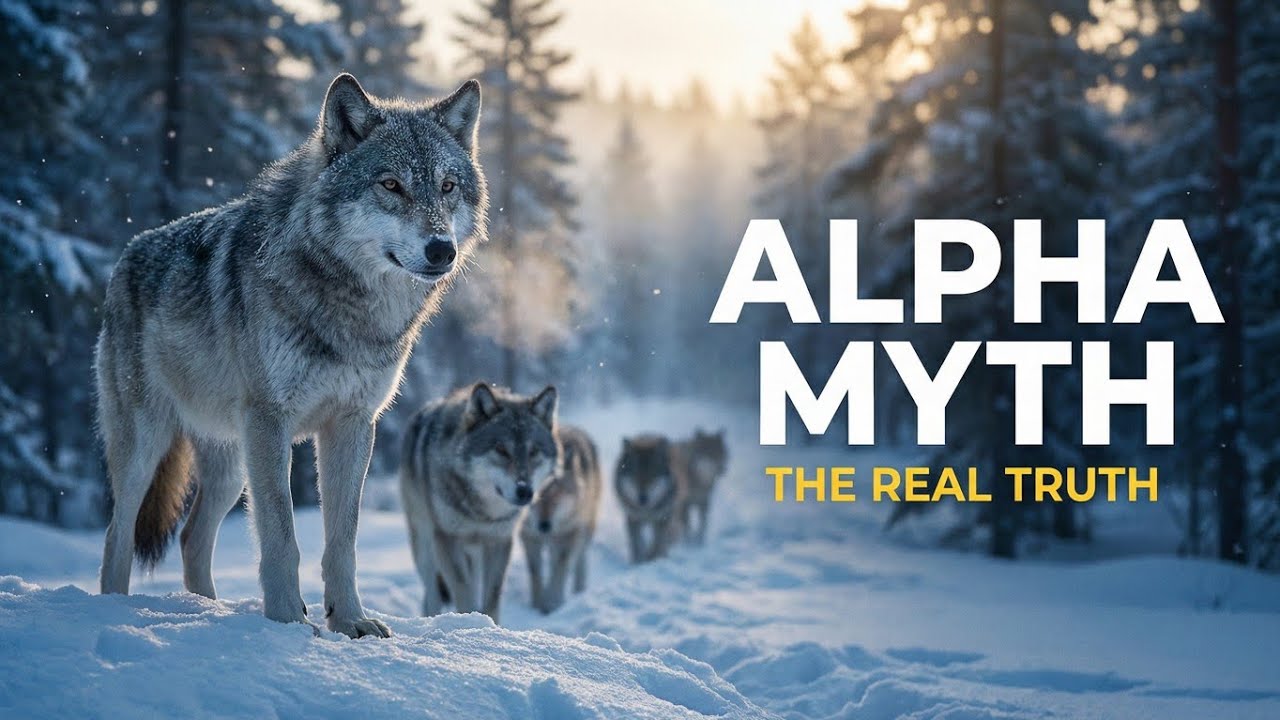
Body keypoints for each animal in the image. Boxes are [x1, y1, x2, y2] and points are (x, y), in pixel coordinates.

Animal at [95, 73, 487, 639]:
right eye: (391, 185)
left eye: (448, 187)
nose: (442, 250)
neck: (351, 311)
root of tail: (126, 254)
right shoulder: (270, 421)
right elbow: (281, 534)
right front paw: (285, 620)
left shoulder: (352, 424)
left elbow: (342, 541)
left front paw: (350, 620)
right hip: (148, 447)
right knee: (117, 533)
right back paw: (112, 610)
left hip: (231, 466)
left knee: (192, 538)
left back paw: (206, 610)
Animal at [400, 382, 560, 623]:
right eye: (501, 449)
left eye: (533, 451)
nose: (525, 491)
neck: (482, 513)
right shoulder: (446, 538)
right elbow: (462, 590)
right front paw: (466, 624)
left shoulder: (499, 541)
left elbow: (492, 596)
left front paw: (489, 625)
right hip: (425, 546)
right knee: (431, 593)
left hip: (474, 553)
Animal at [520, 424, 601, 614]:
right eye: (535, 498)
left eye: (557, 496)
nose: (544, 525)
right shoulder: (530, 537)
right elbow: (536, 573)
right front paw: (538, 605)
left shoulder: (568, 535)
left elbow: (560, 571)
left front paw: (553, 604)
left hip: (585, 530)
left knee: (579, 560)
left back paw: (579, 591)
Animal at [614, 435, 687, 564]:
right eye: (635, 477)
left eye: (652, 478)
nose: (642, 498)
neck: (646, 511)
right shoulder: (632, 517)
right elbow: (637, 543)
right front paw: (638, 562)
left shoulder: (663, 517)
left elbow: (657, 542)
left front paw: (653, 559)